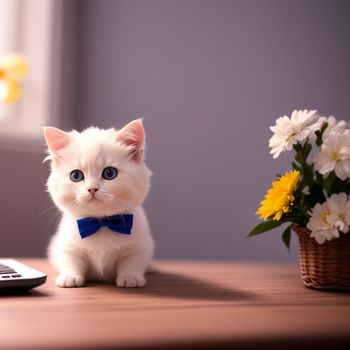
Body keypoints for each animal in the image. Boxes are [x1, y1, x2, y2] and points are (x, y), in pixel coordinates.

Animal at [43, 119, 153, 288]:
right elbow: (70, 259)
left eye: (109, 173)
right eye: (76, 176)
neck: (101, 223)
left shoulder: (139, 246)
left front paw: (130, 277)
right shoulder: (67, 246)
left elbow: (132, 261)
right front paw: (70, 277)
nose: (92, 189)